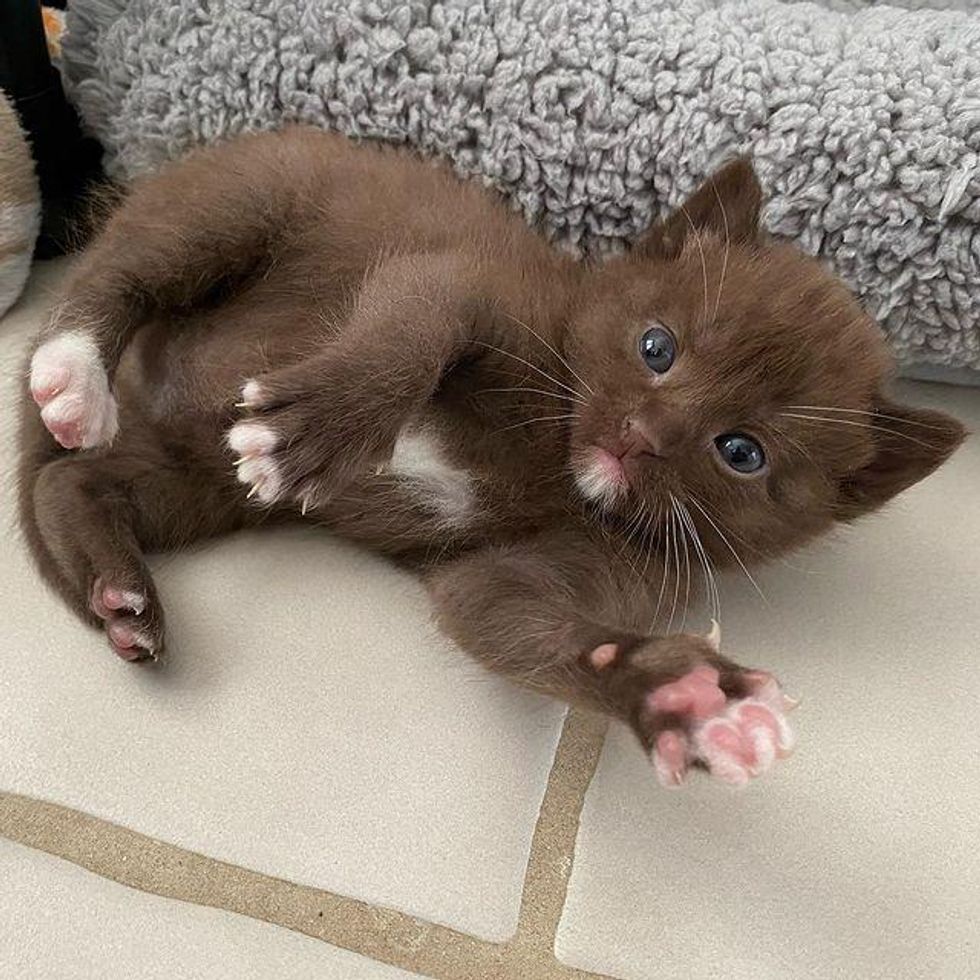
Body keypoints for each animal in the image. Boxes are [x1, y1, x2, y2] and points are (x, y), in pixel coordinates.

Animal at [19, 128, 968, 788]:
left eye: (742, 452)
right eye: (657, 347)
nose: (642, 437)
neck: (557, 460)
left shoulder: (576, 569)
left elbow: (505, 616)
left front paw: (683, 699)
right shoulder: (477, 285)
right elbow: (418, 317)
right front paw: (312, 431)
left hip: (204, 477)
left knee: (72, 480)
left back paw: (121, 590)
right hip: (247, 194)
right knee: (124, 269)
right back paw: (73, 371)